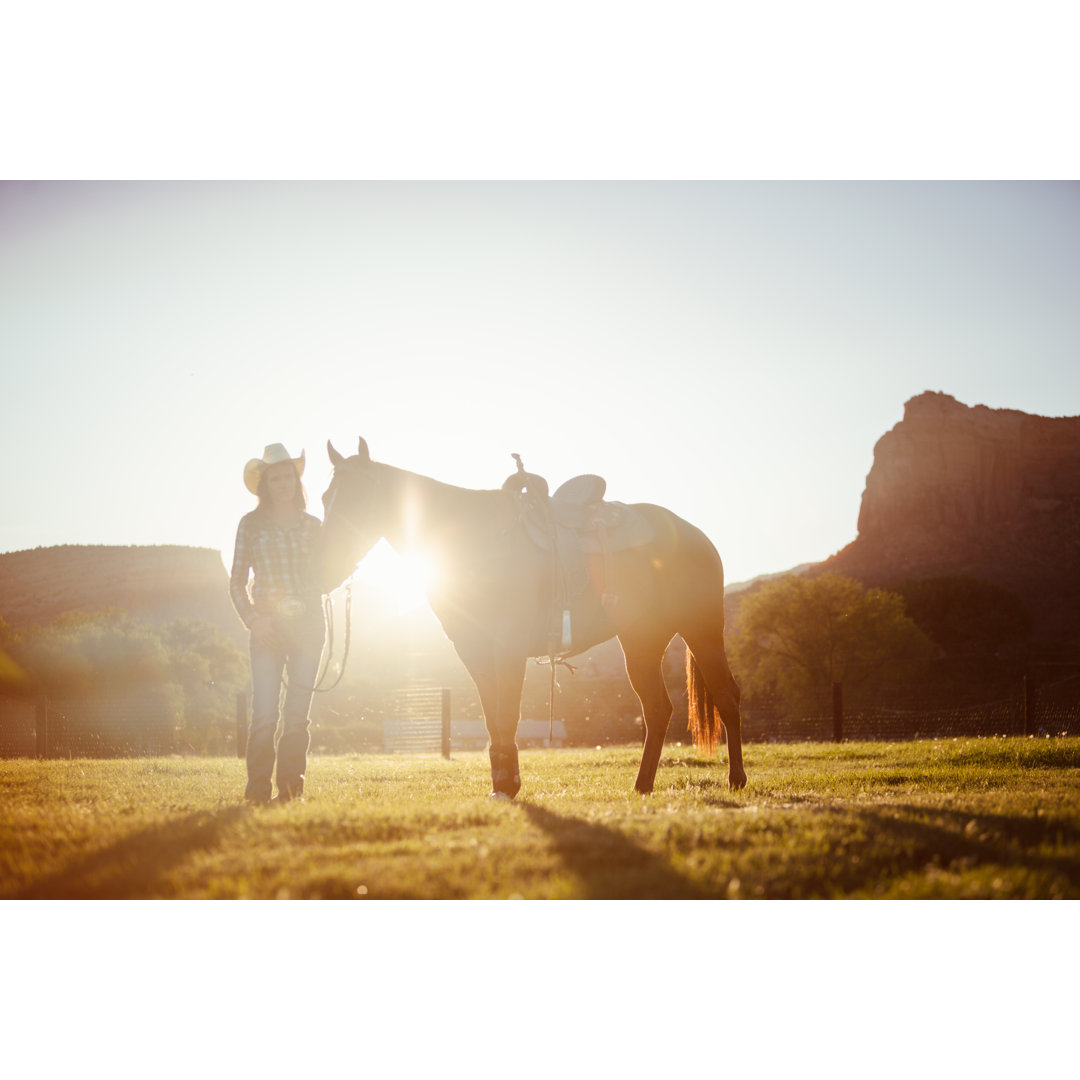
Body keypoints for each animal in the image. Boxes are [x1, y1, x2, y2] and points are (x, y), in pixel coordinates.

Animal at [315, 438, 747, 803]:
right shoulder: (473, 651)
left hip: (702, 630)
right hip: (641, 640)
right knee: (657, 709)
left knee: (725, 695)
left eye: (358, 497)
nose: (327, 565)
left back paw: (736, 779)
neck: (478, 543)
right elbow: (492, 719)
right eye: (324, 497)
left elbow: (508, 715)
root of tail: (696, 535)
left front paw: (508, 784)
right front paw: (502, 782)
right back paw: (642, 785)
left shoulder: (507, 649)